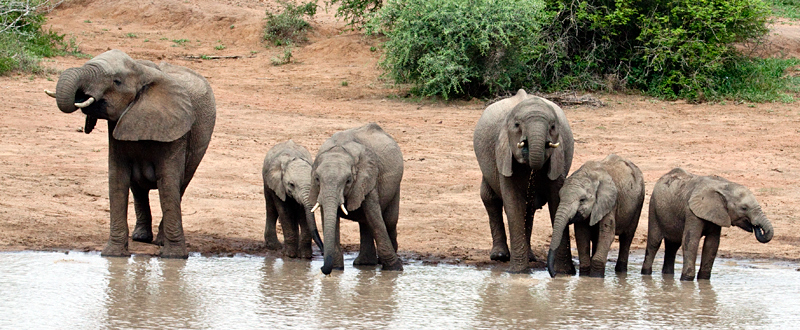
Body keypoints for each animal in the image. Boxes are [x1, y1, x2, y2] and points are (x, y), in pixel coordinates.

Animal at [45, 50, 214, 260]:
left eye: (116, 82)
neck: (143, 71)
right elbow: (117, 180)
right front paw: (112, 255)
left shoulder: (177, 132)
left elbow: (168, 184)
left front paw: (174, 257)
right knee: (138, 188)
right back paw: (140, 237)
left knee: (180, 185)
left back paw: (159, 241)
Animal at [310, 122, 404, 274]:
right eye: (317, 179)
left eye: (348, 180)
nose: (322, 269)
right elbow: (330, 219)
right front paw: (337, 269)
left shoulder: (368, 179)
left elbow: (376, 220)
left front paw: (395, 269)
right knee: (365, 222)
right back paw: (365, 264)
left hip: (396, 186)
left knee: (389, 221)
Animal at [472, 88, 572, 274]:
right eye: (517, 125)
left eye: (553, 127)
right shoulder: (503, 153)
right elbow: (513, 205)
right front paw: (518, 273)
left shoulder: (559, 158)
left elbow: (556, 202)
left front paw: (564, 272)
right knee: (490, 198)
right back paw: (499, 256)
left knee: (529, 208)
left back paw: (530, 257)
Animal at [640, 168, 772, 282]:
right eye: (744, 208)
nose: (756, 227)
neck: (725, 186)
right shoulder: (691, 212)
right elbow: (690, 241)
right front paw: (687, 280)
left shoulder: (717, 214)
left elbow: (712, 244)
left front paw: (703, 280)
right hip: (654, 208)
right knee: (654, 242)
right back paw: (646, 273)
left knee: (672, 246)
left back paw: (667, 275)